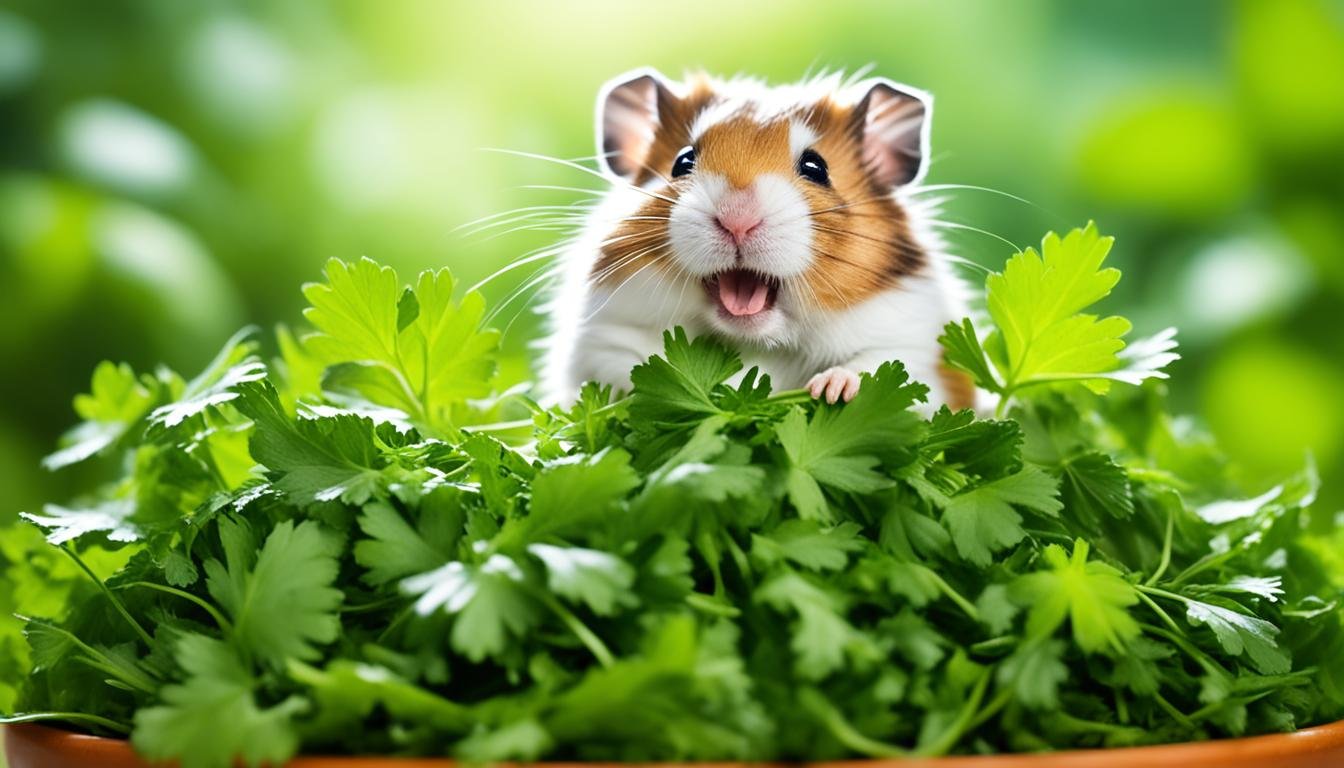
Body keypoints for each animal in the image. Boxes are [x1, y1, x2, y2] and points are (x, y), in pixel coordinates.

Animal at [540, 69, 977, 413]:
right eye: (683, 161)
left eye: (816, 167)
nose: (737, 220)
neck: (758, 341)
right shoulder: (600, 340)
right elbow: (625, 370)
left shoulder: (918, 348)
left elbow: (875, 367)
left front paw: (830, 390)